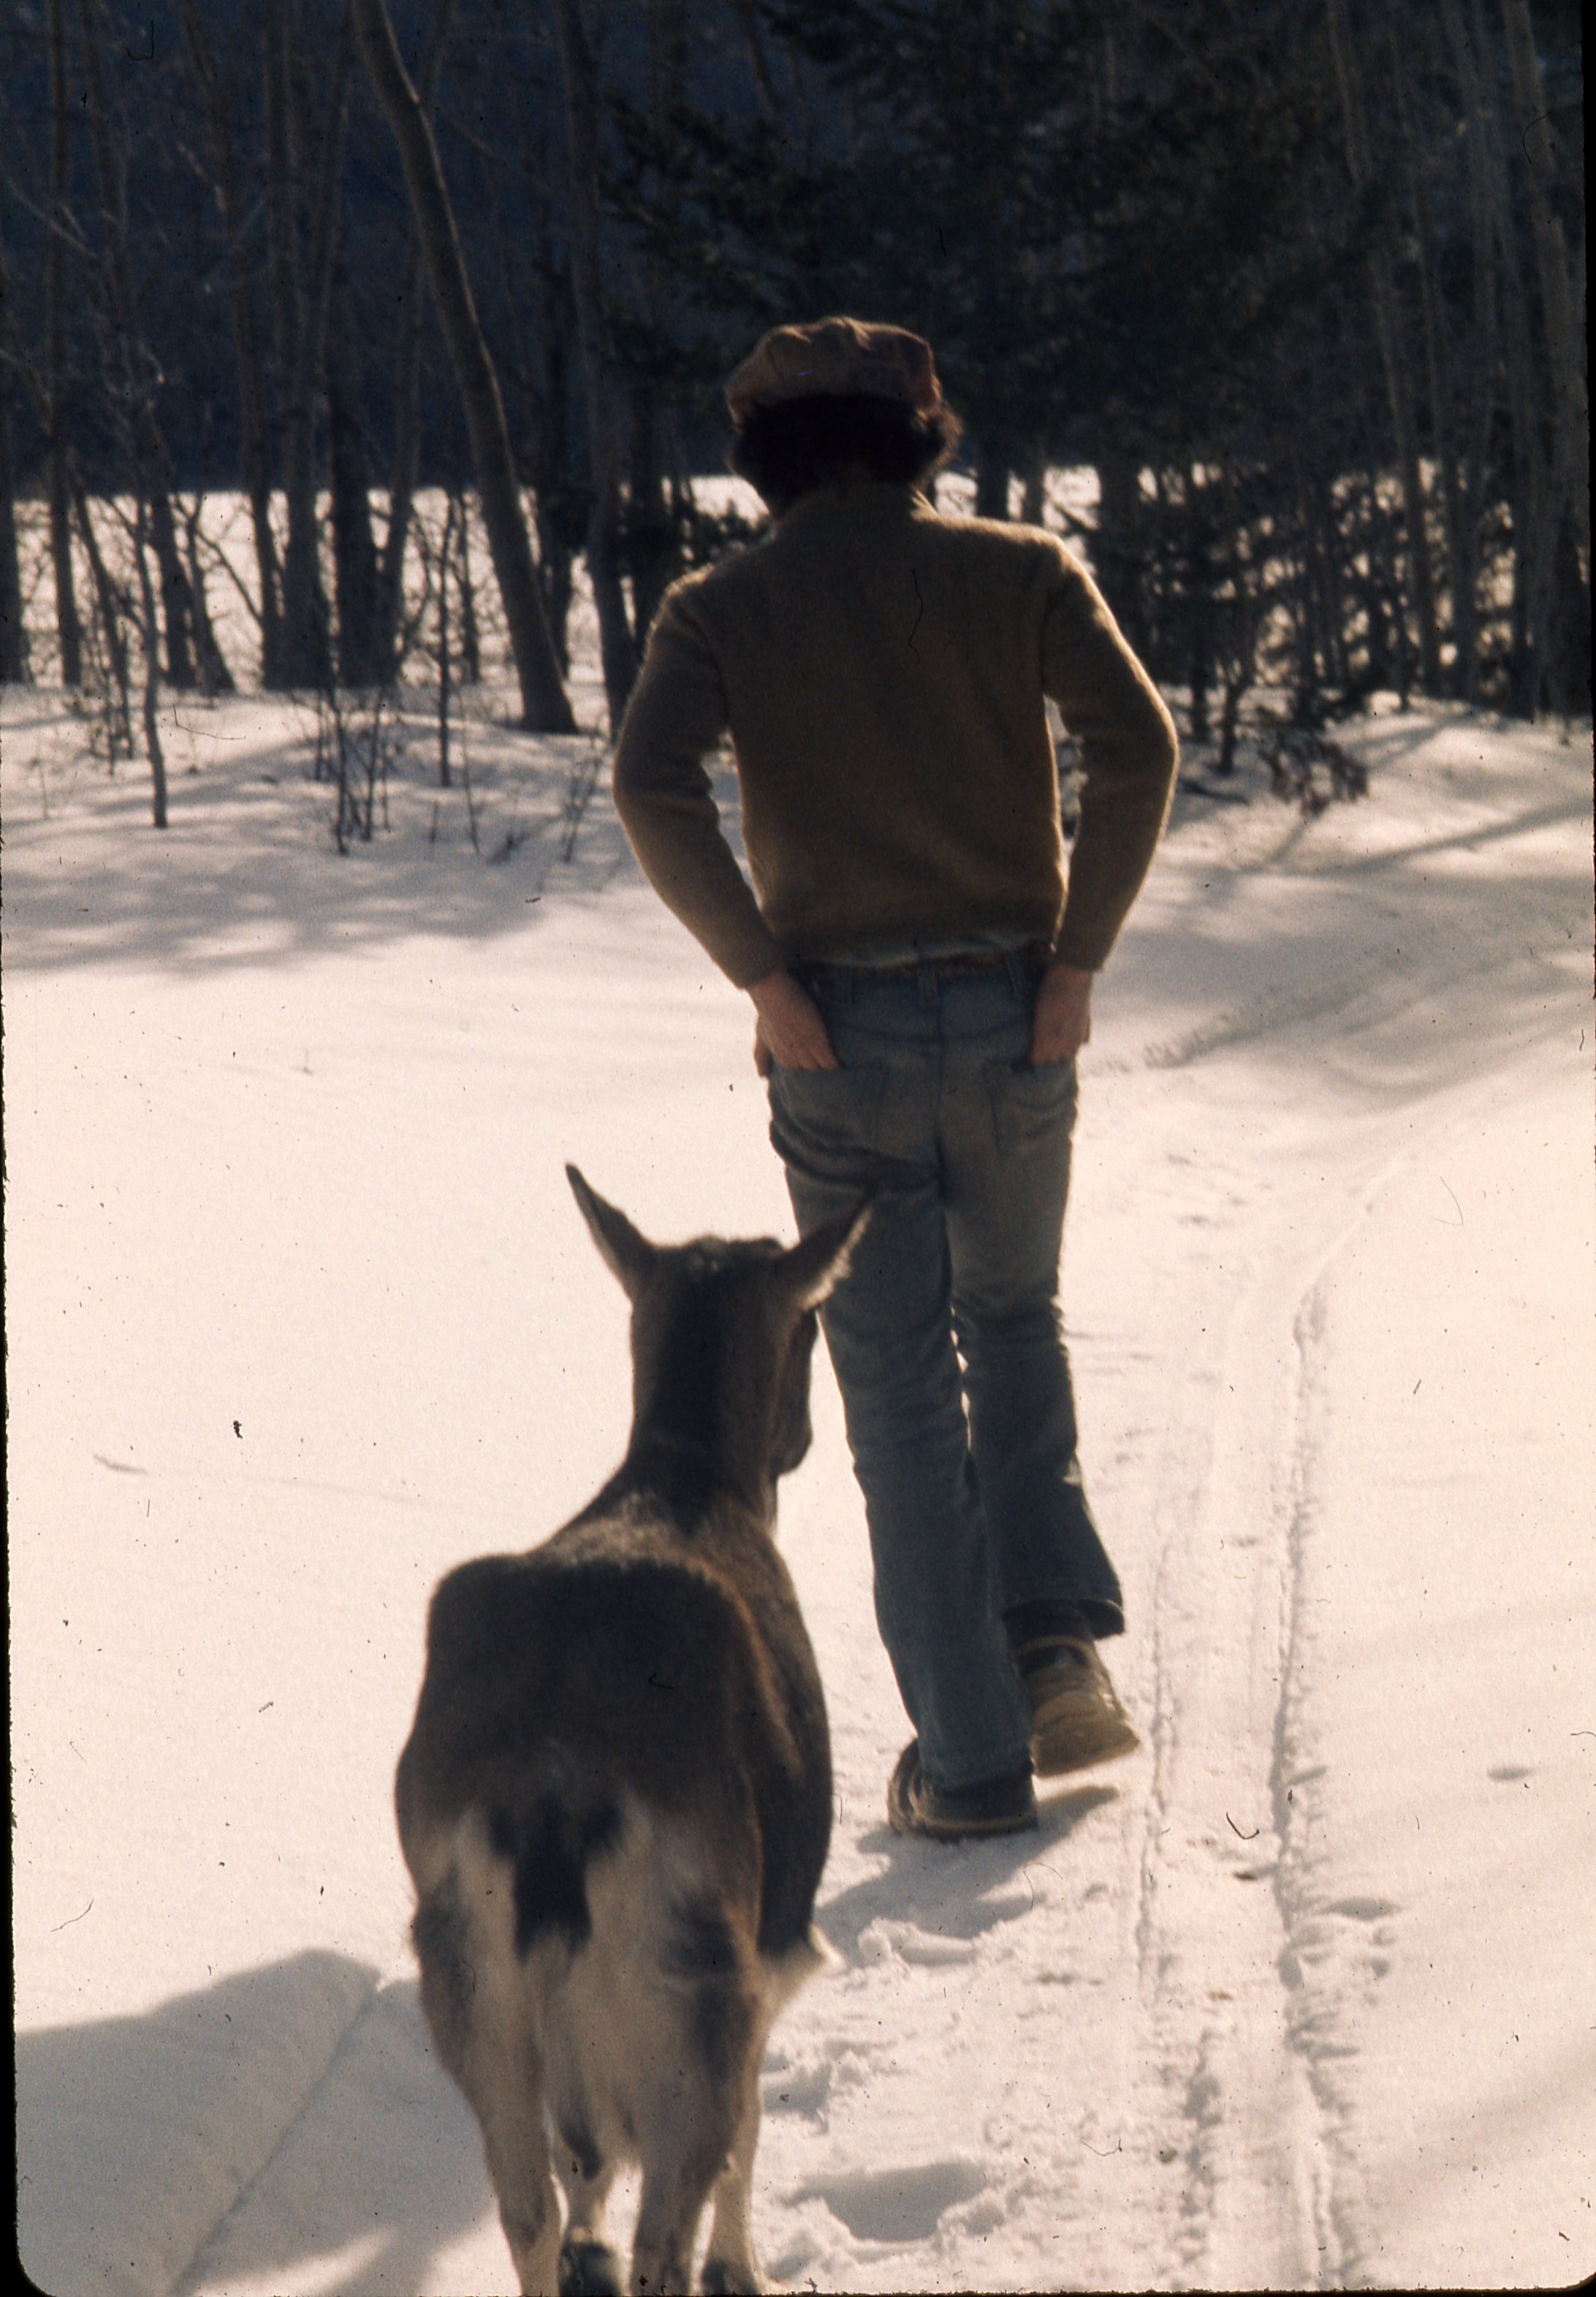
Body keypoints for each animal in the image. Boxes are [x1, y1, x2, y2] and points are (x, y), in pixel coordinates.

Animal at [395, 1166, 871, 2297]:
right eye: (813, 1319)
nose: (802, 1436)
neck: (685, 1477)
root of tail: (553, 1796)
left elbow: (582, 2179)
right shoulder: (772, 1951)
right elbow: (748, 2133)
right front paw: (745, 2266)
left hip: (469, 1988)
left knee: (529, 2207)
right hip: (695, 1982)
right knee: (670, 2219)